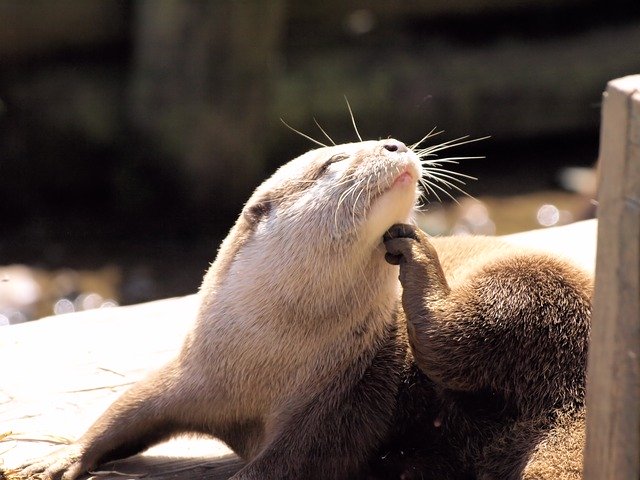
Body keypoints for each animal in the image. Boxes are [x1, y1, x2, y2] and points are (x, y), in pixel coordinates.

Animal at [7, 137, 592, 478]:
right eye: (334, 160)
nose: (396, 143)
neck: (266, 362)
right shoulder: (196, 372)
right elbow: (130, 407)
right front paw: (60, 458)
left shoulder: (344, 396)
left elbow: (294, 462)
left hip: (531, 290)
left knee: (455, 338)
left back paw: (421, 257)